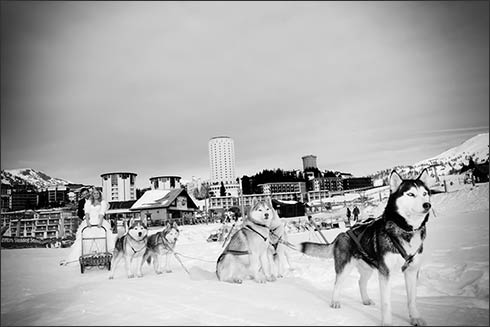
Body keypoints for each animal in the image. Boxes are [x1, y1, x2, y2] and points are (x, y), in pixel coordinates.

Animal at [300, 170, 430, 326]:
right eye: (410, 194)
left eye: (425, 193)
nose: (427, 205)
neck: (405, 230)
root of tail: (342, 234)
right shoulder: (385, 273)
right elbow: (386, 303)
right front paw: (387, 323)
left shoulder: (411, 271)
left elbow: (412, 300)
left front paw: (415, 318)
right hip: (345, 267)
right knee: (337, 283)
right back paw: (335, 301)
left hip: (368, 268)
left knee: (360, 282)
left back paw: (366, 300)